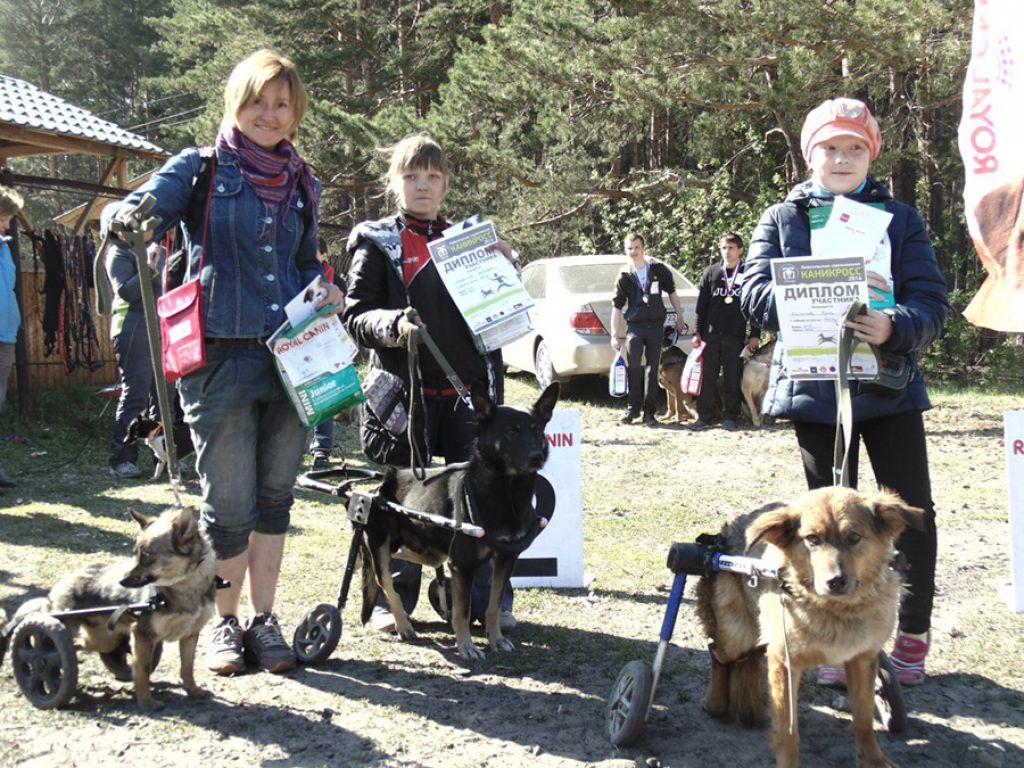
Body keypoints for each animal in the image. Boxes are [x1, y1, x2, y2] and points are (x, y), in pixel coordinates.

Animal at [8, 507, 217, 712]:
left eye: (146, 555)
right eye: (135, 553)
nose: (121, 581)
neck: (185, 586)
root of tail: (54, 591)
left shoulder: (189, 635)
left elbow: (187, 667)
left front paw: (193, 690)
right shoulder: (143, 635)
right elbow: (142, 671)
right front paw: (146, 702)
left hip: (107, 641)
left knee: (78, 645)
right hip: (59, 630)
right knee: (49, 647)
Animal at [362, 382, 561, 659]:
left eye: (537, 430)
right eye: (511, 431)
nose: (536, 457)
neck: (507, 491)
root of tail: (383, 483)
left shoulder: (505, 559)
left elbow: (493, 605)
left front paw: (496, 639)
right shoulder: (462, 566)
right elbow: (462, 611)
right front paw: (467, 646)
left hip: (424, 549)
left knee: (409, 558)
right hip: (381, 548)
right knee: (388, 585)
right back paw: (403, 625)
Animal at [696, 487, 921, 768]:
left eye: (854, 537)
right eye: (812, 539)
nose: (835, 581)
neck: (835, 611)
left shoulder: (862, 659)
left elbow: (863, 719)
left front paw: (873, 760)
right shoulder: (784, 662)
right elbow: (787, 729)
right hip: (738, 634)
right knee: (718, 653)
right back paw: (715, 702)